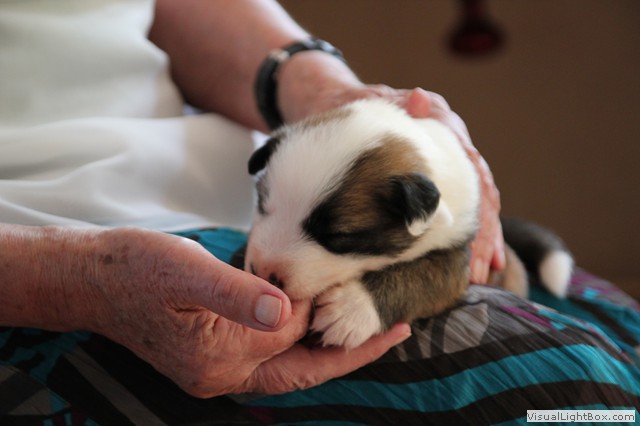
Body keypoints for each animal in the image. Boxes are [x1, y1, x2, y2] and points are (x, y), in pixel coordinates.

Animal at [243, 99, 573, 349]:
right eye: (262, 204)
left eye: (337, 236)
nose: (263, 272)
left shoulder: (458, 258)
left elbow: (419, 276)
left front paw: (349, 309)